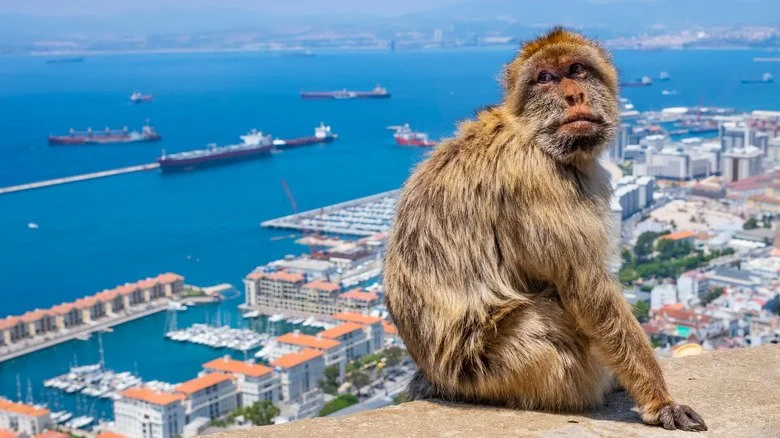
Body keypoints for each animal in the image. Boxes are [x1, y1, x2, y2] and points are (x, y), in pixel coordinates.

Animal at [383, 28, 707, 432]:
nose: (573, 95)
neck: (535, 135)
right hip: (508, 367)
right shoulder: (538, 181)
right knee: (554, 311)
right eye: (546, 78)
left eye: (577, 70)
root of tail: (436, 377)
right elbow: (587, 290)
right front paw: (659, 400)